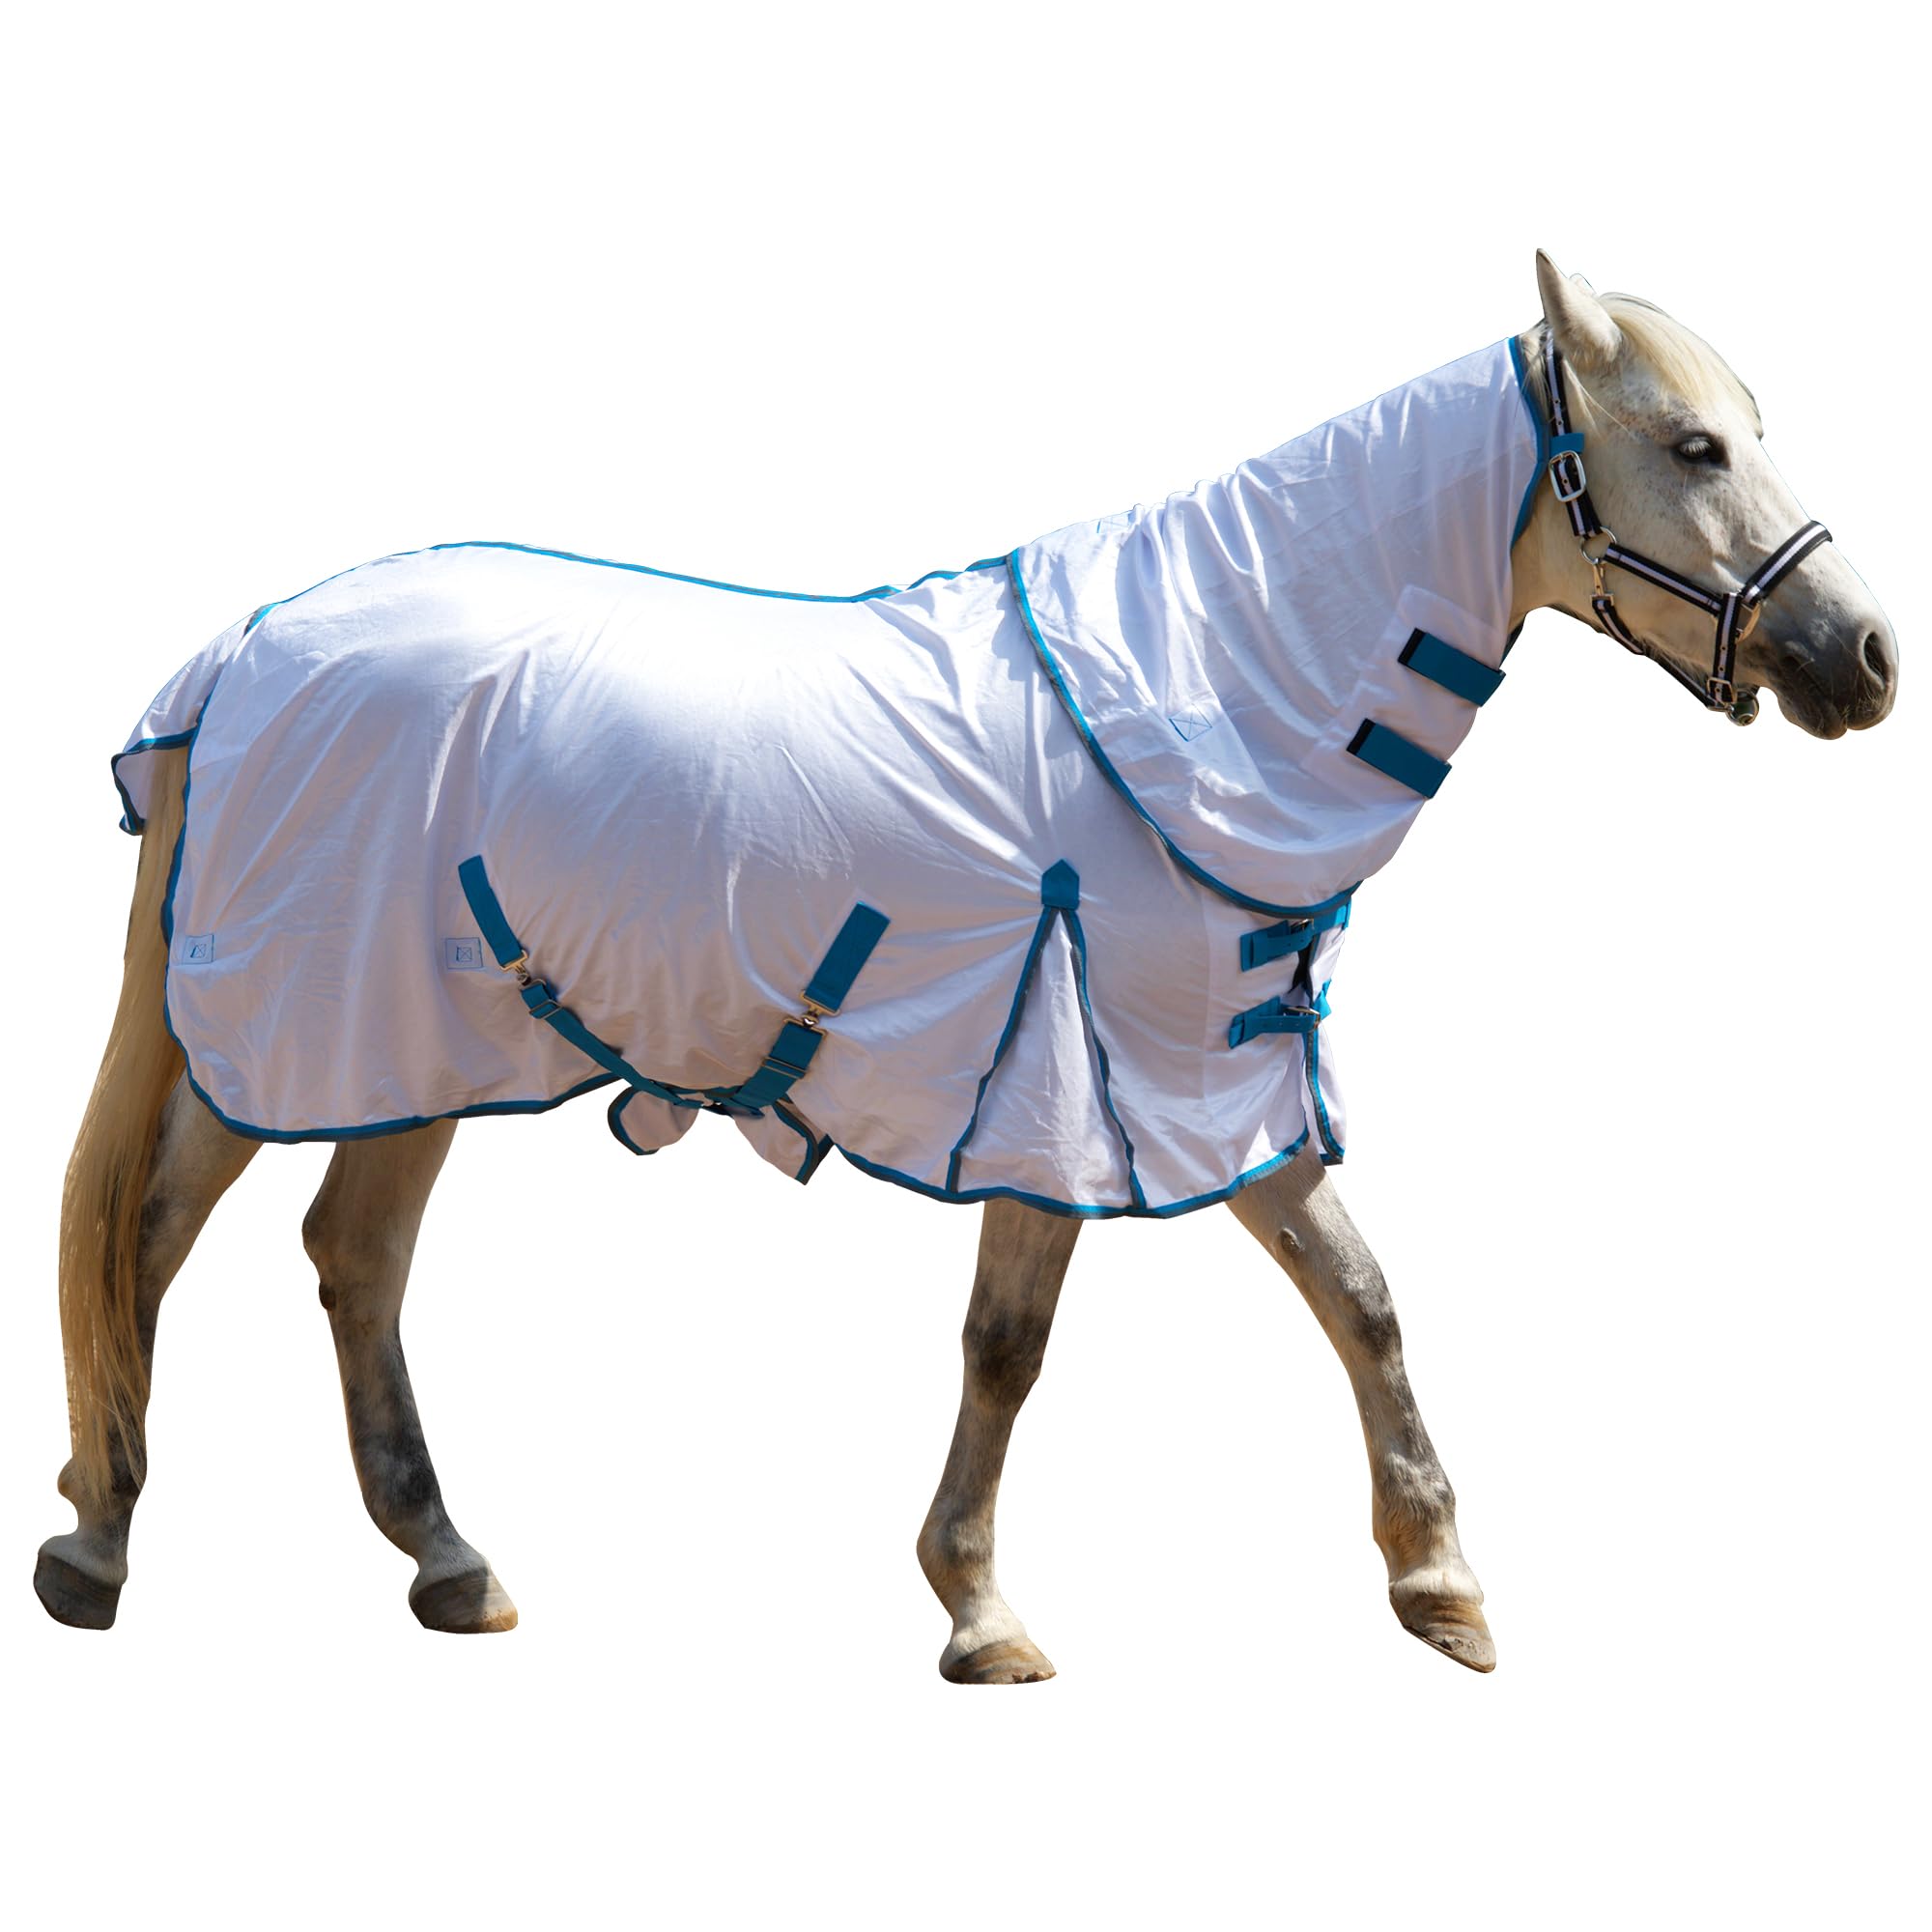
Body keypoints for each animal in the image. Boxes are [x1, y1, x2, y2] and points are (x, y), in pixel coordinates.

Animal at [37, 252, 1898, 1679]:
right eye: (1695, 442)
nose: (1865, 657)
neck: (1207, 691)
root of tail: (247, 653)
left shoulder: (1203, 1091)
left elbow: (1356, 1299)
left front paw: (1439, 1592)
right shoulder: (1092, 1090)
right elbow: (1021, 1344)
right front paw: (986, 1611)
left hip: (409, 1052)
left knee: (346, 1257)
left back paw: (441, 1560)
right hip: (312, 1034)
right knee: (152, 1239)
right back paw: (100, 1545)